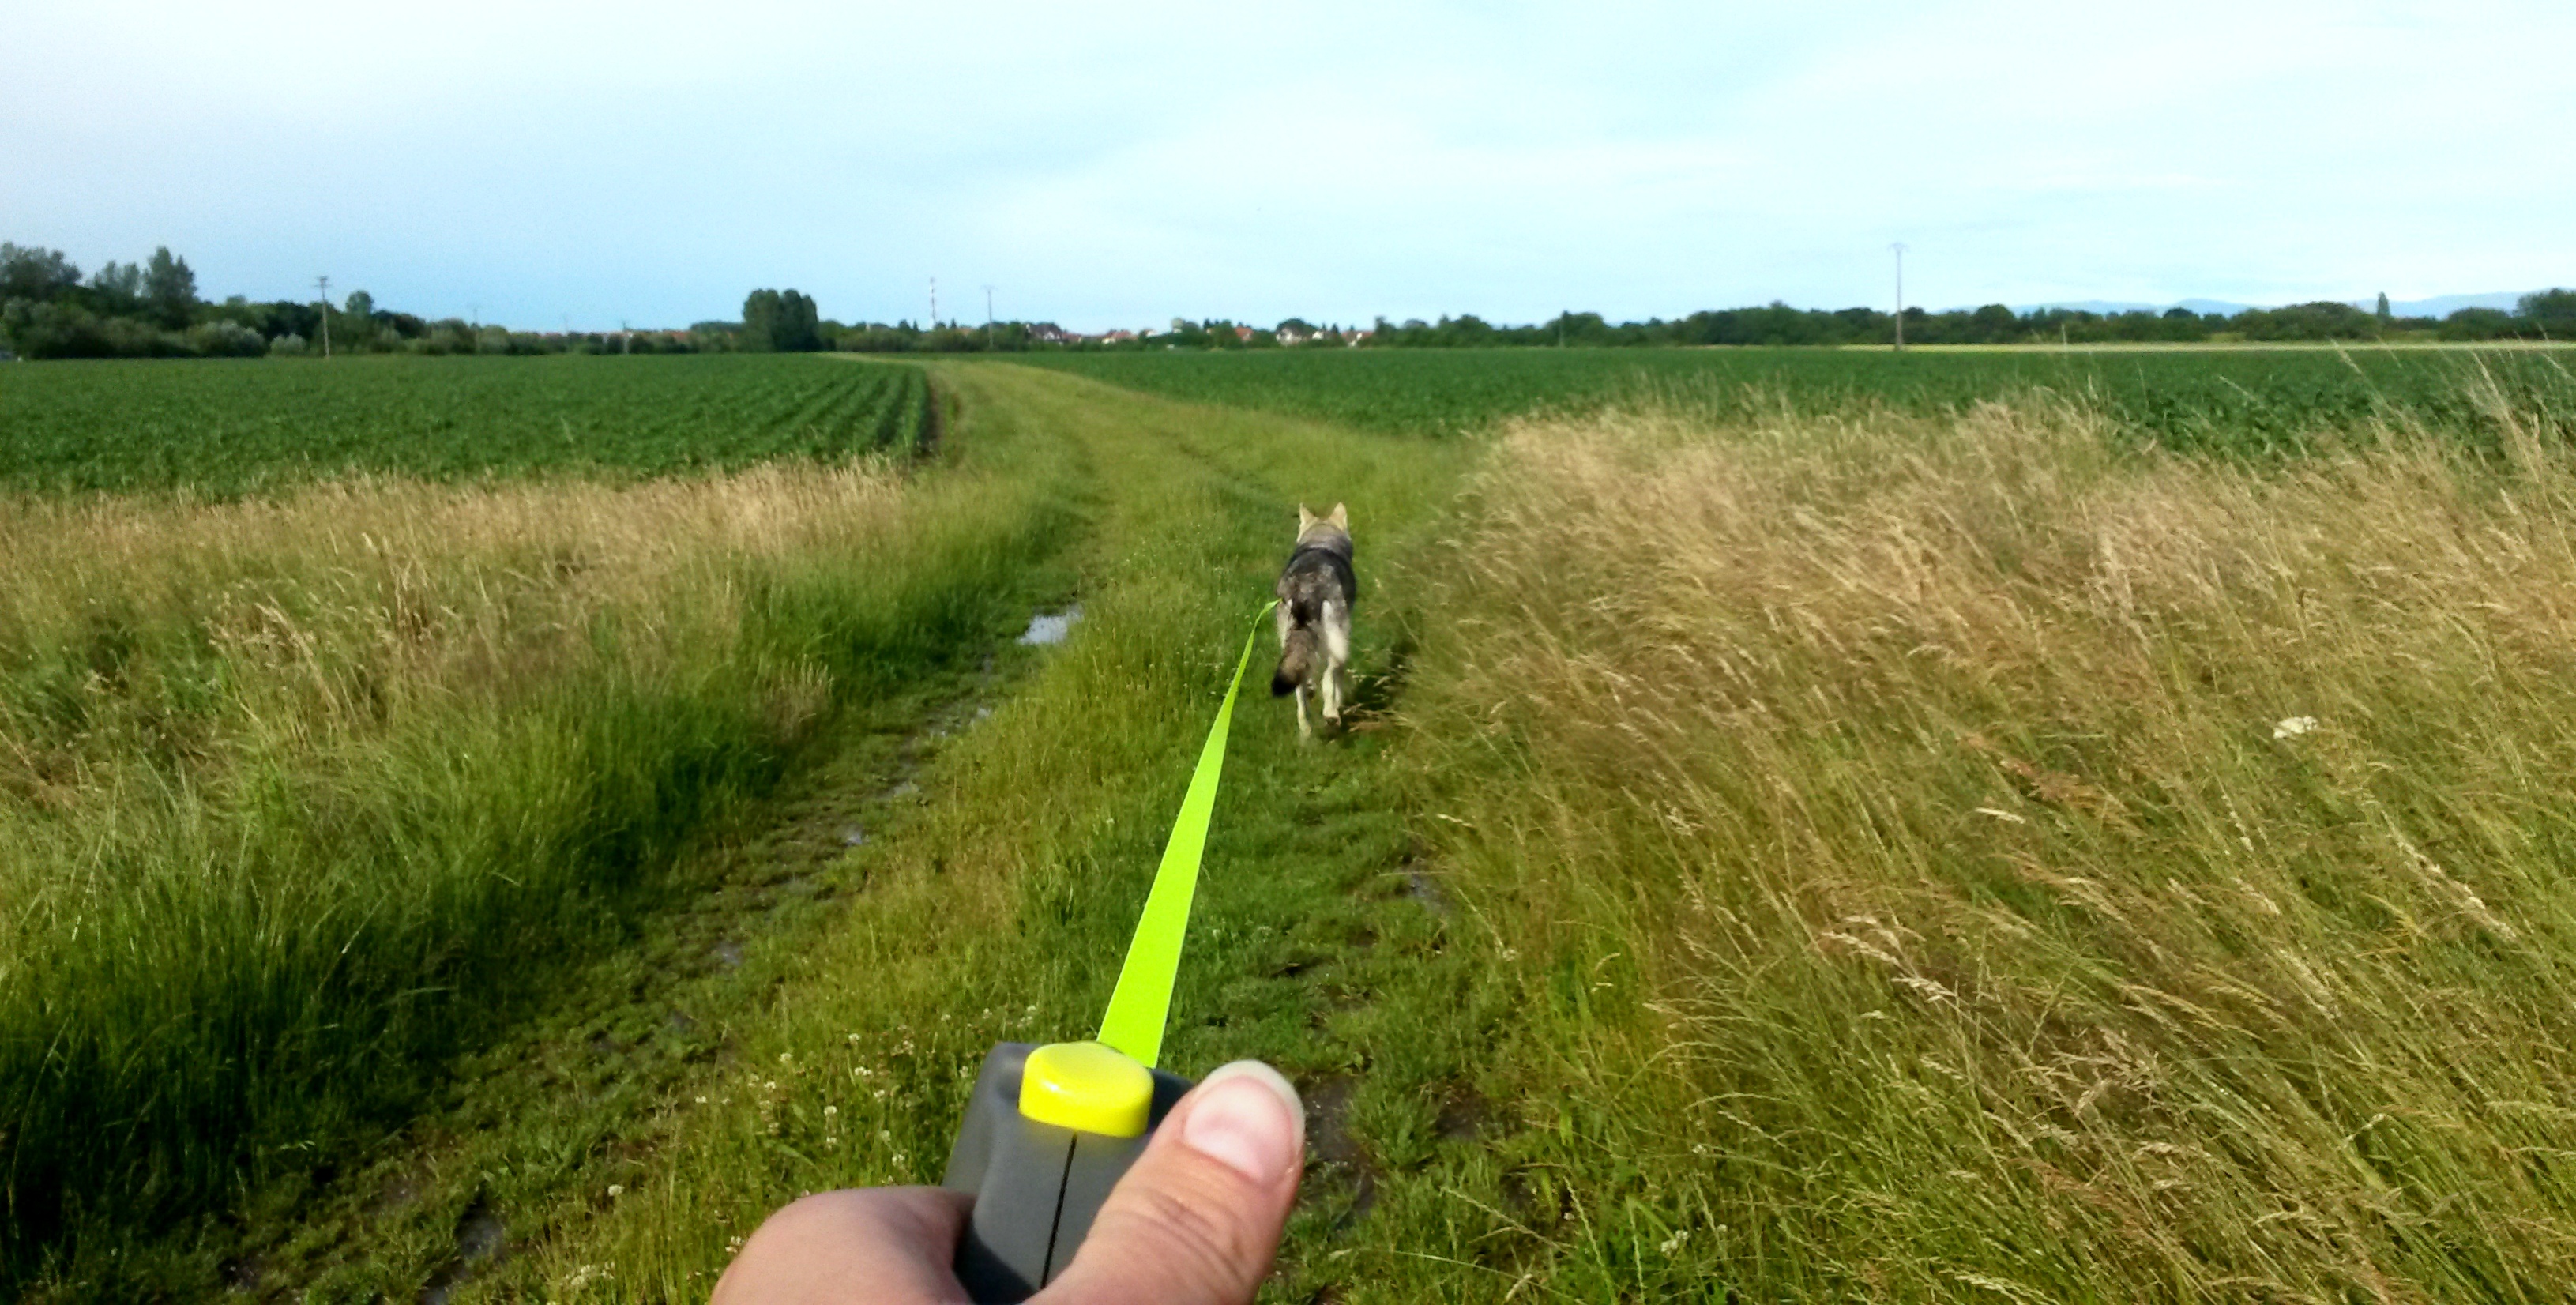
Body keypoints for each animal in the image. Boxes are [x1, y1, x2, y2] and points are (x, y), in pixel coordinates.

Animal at [1272, 502, 1359, 741]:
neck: (1319, 543)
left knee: (1300, 692)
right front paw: (1338, 705)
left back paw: (1306, 730)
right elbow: (1336, 681)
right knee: (1328, 679)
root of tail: (1306, 590)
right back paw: (1331, 715)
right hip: (1340, 644)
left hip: (1289, 642)